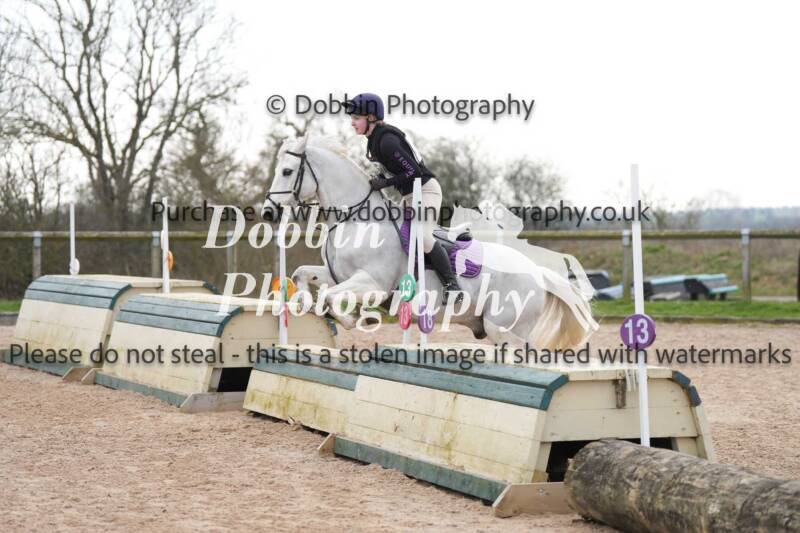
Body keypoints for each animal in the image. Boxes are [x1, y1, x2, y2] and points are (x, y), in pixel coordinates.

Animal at [261, 134, 598, 351]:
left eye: (287, 172)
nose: (268, 211)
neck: (356, 219)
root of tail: (537, 273)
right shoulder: (339, 274)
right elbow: (303, 275)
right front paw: (306, 303)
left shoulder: (372, 284)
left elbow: (331, 298)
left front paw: (351, 318)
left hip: (506, 329)